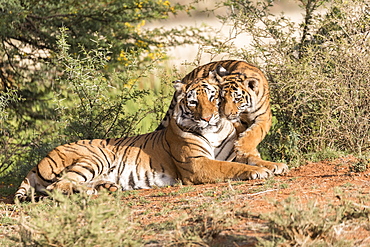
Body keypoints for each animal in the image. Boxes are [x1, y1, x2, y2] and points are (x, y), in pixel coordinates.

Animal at [14, 71, 272, 203]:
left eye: (213, 98)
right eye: (193, 102)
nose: (208, 118)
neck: (215, 131)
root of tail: (37, 164)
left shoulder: (231, 152)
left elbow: (252, 158)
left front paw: (273, 166)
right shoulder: (197, 165)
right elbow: (230, 168)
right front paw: (257, 172)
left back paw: (106, 187)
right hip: (96, 156)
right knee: (58, 185)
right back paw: (91, 192)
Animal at [156, 60, 290, 174]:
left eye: (237, 99)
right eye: (222, 97)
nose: (225, 114)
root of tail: (188, 75)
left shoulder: (264, 117)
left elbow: (256, 132)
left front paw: (243, 146)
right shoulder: (236, 121)